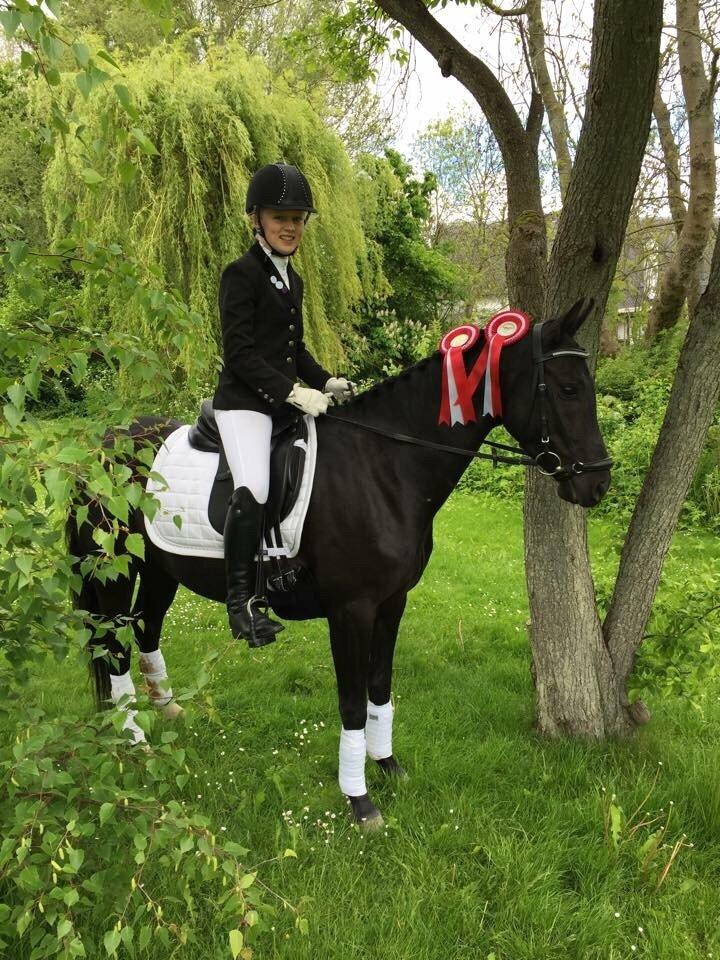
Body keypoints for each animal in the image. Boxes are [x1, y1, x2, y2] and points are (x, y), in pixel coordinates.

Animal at [66, 299, 611, 828]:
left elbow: (379, 687)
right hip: (113, 575)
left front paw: (388, 765)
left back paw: (166, 711)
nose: (598, 483)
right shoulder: (351, 610)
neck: (383, 467)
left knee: (146, 628)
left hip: (159, 569)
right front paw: (360, 800)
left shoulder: (392, 602)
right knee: (113, 647)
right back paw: (132, 741)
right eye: (567, 389)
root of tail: (101, 444)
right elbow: (351, 703)